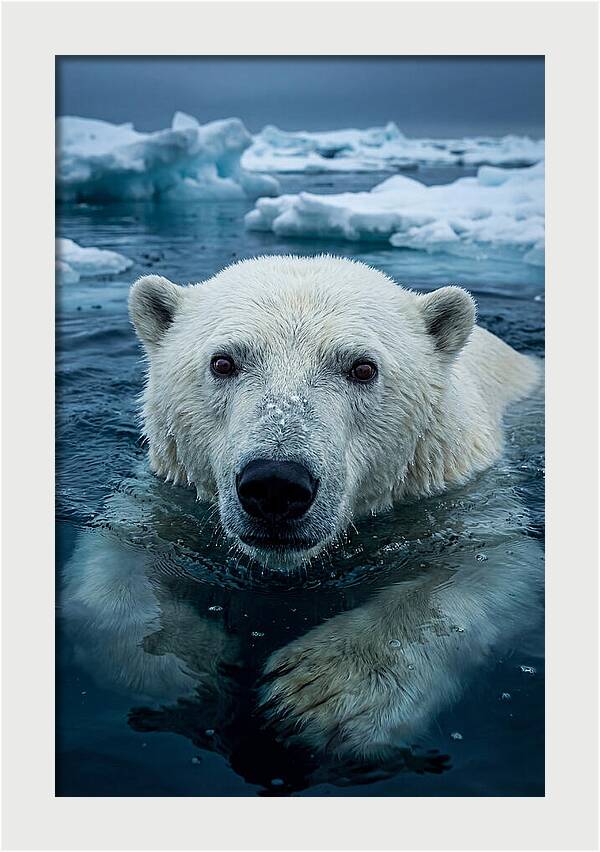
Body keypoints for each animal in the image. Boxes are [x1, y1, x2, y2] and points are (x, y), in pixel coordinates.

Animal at [59, 255, 543, 783]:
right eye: (223, 362)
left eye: (362, 367)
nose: (276, 484)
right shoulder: (169, 494)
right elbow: (115, 562)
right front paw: (185, 666)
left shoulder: (458, 493)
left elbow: (488, 566)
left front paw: (320, 693)